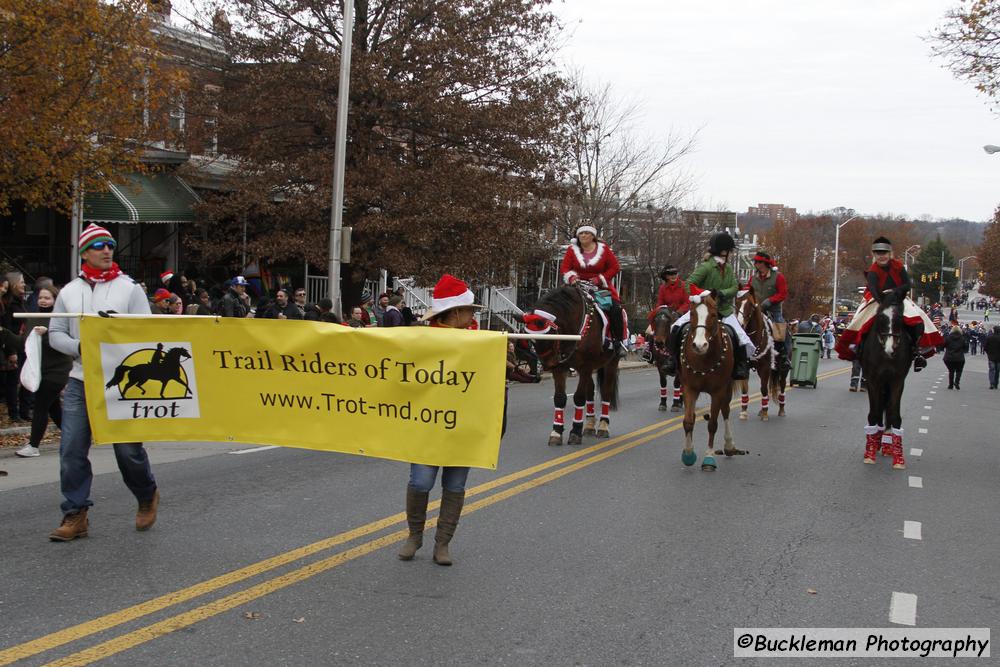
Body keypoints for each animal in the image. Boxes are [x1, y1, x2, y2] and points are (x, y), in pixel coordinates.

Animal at [528, 284, 620, 446]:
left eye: (550, 335)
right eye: (532, 340)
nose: (546, 366)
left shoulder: (585, 367)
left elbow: (578, 397)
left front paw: (575, 431)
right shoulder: (560, 368)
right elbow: (560, 398)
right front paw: (556, 432)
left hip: (611, 363)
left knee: (606, 392)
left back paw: (603, 426)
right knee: (590, 392)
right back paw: (589, 425)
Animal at [680, 292, 744, 470]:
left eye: (714, 315)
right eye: (692, 314)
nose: (699, 345)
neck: (703, 358)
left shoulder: (718, 391)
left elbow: (713, 424)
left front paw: (709, 458)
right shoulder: (689, 388)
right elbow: (688, 421)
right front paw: (688, 454)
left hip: (726, 388)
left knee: (725, 410)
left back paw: (729, 446)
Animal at [732, 290, 776, 420]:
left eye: (750, 305)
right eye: (737, 302)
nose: (740, 324)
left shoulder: (765, 368)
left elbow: (764, 389)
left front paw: (765, 413)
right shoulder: (744, 366)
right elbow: (744, 389)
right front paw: (743, 411)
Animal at [856, 292, 912, 470]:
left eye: (900, 317)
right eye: (880, 316)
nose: (889, 349)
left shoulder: (897, 381)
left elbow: (894, 415)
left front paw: (898, 458)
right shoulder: (873, 379)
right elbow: (874, 413)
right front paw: (870, 453)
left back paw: (886, 443)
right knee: (879, 409)